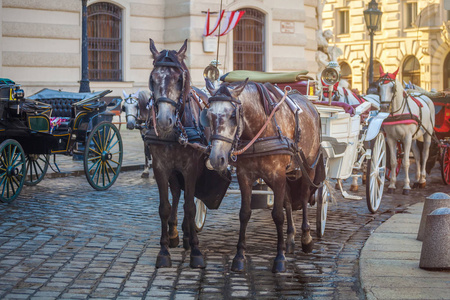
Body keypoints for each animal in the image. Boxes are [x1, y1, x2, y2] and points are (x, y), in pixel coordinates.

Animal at [148, 39, 211, 268]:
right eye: (153, 79)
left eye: (178, 79)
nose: (164, 120)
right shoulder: (160, 167)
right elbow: (165, 207)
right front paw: (164, 250)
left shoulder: (191, 168)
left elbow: (191, 206)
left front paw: (196, 250)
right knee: (176, 192)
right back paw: (176, 232)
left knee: (189, 198)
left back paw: (187, 233)